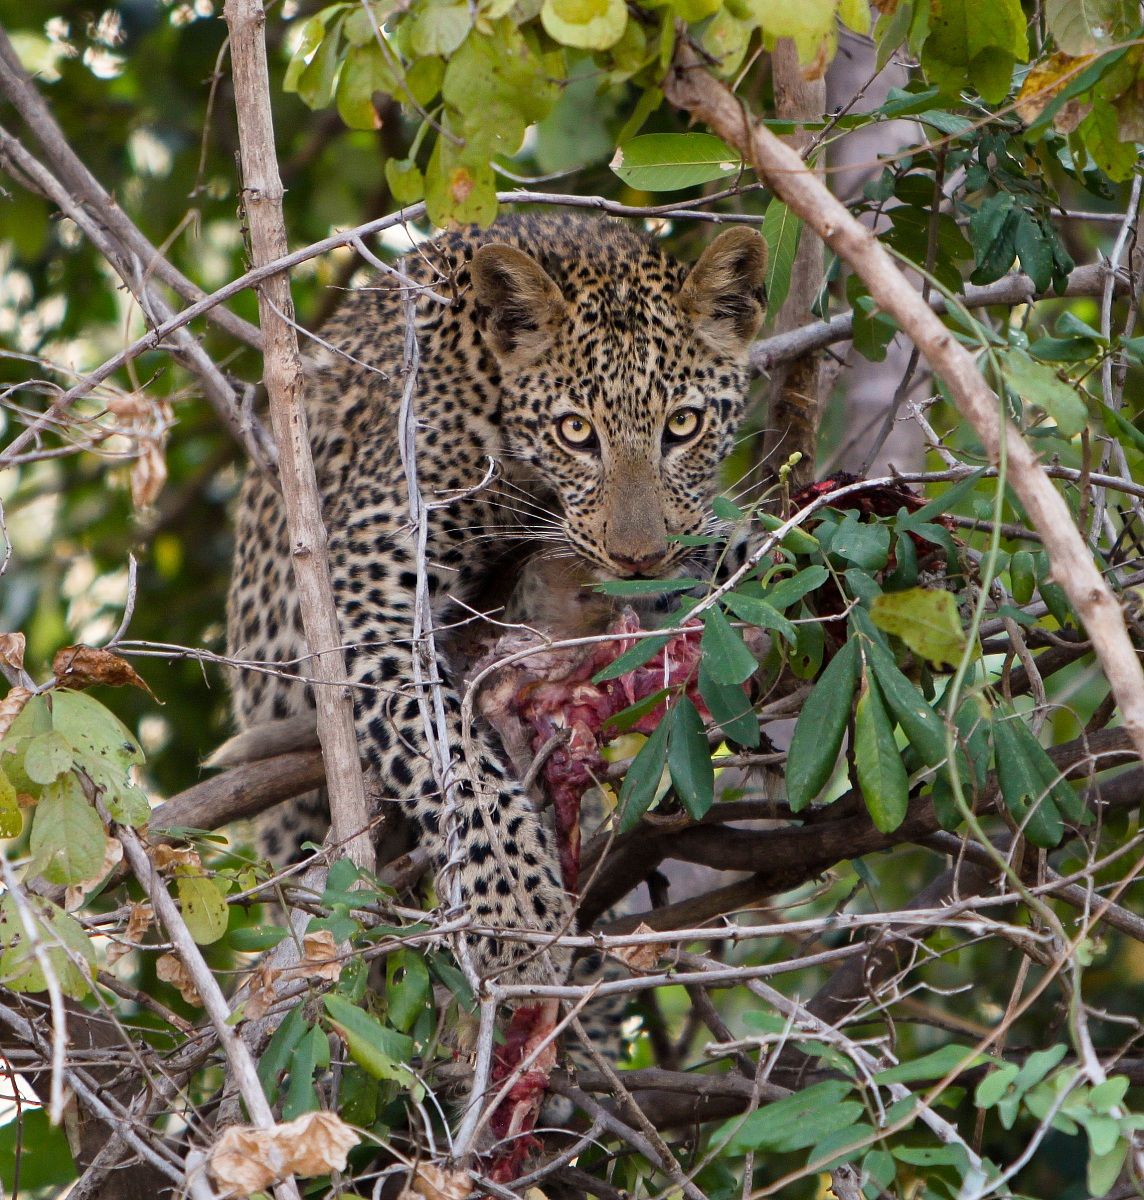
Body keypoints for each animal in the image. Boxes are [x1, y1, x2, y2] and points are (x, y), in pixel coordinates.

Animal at [226, 212, 768, 988]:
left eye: (683, 426)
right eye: (577, 432)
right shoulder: (367, 576)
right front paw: (512, 900)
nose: (637, 558)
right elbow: (438, 740)